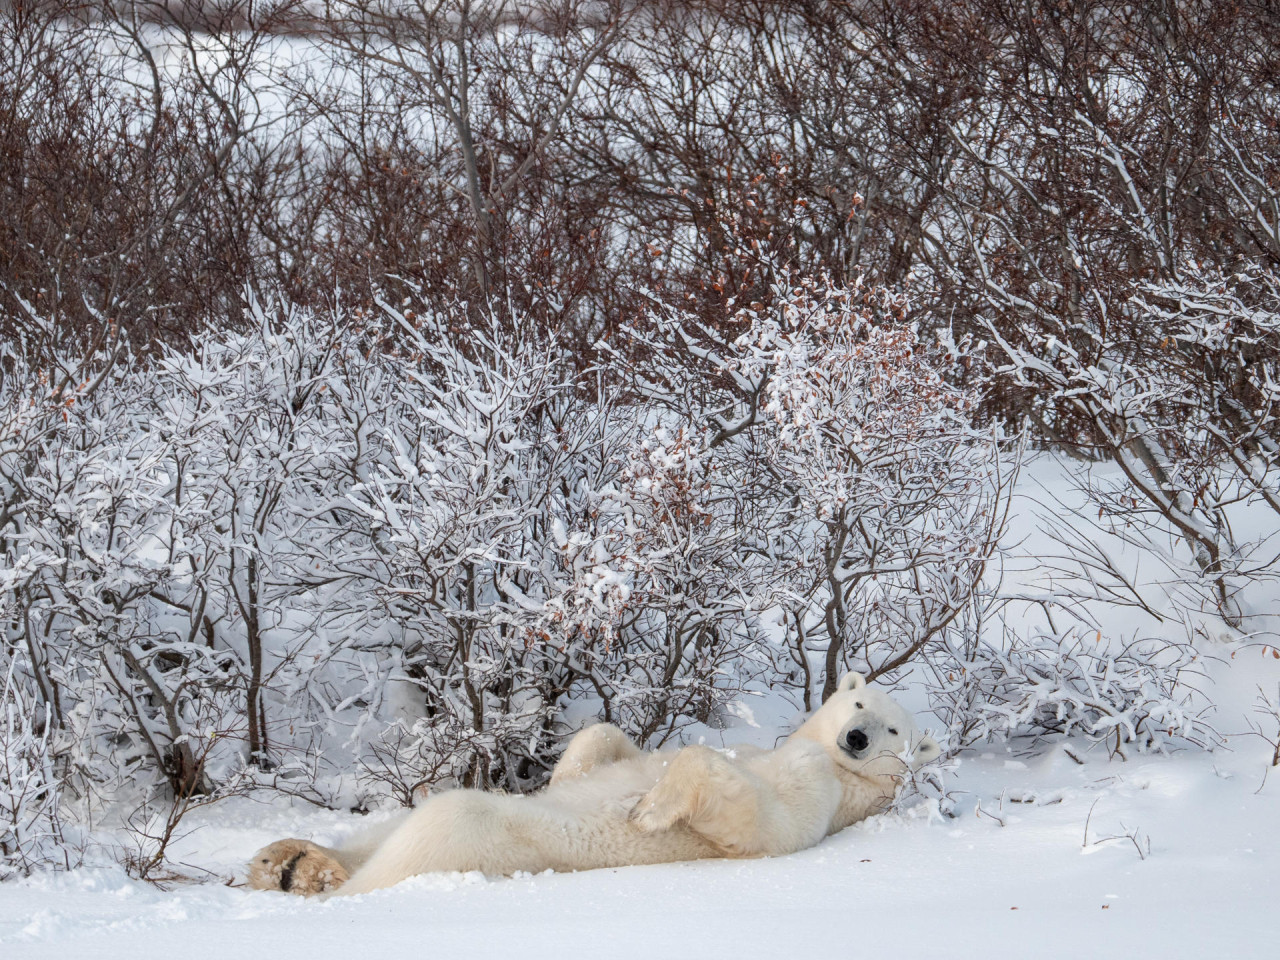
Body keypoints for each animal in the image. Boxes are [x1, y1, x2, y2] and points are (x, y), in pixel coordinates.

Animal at [247, 670, 942, 901]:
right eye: (859, 706)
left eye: (893, 730)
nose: (856, 739)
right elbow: (606, 742)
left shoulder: (821, 793)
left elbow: (761, 821)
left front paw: (648, 810)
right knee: (384, 828)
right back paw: (290, 860)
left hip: (492, 838)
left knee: (439, 822)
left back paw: (318, 884)